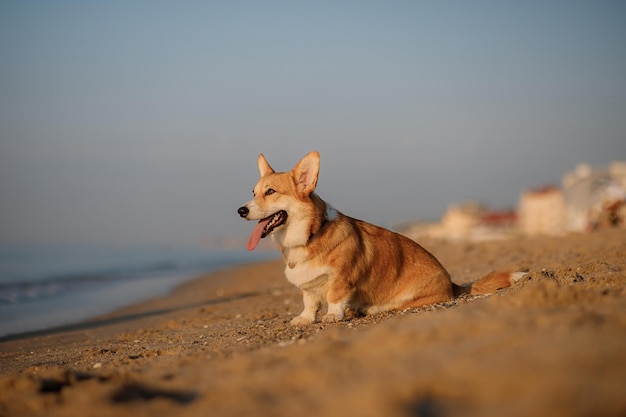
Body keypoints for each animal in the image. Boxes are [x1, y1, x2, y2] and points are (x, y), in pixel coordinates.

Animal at [236, 150, 520, 324]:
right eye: (253, 192)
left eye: (271, 192)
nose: (240, 210)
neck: (309, 235)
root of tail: (454, 285)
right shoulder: (309, 286)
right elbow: (309, 302)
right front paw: (305, 319)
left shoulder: (341, 279)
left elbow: (334, 298)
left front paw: (332, 316)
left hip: (409, 300)